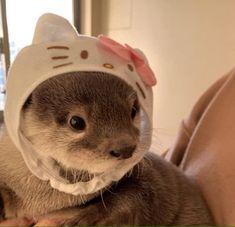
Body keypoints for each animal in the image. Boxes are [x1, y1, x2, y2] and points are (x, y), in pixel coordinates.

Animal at [0, 72, 214, 225]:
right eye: (76, 122)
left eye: (133, 110)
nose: (126, 148)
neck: (41, 198)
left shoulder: (149, 177)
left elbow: (139, 196)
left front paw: (84, 217)